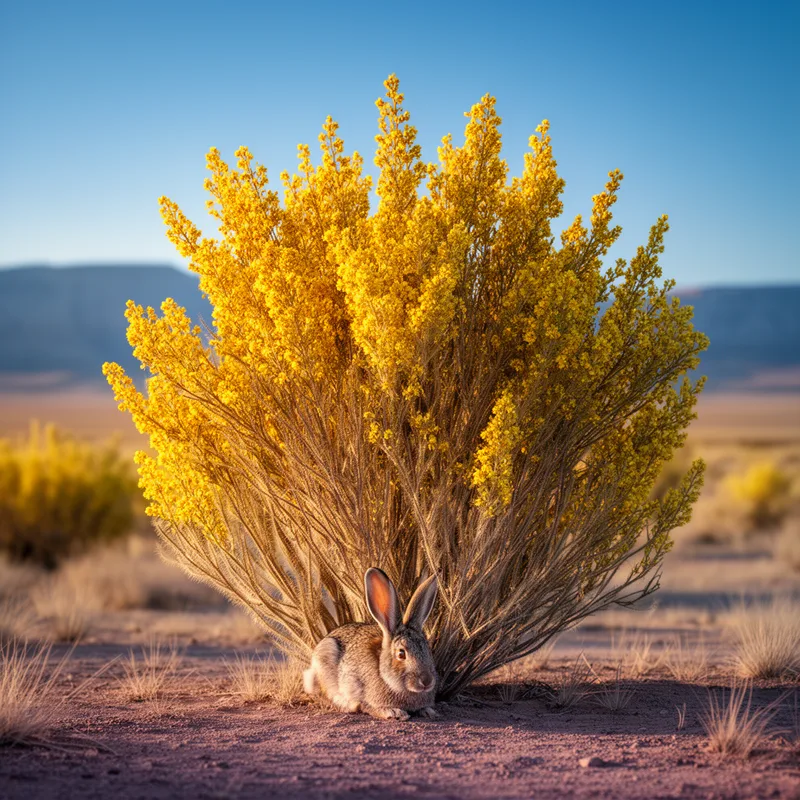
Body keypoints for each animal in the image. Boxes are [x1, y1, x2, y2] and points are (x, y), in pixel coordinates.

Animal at [303, 567, 439, 720]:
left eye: (428, 650)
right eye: (401, 654)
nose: (427, 681)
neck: (384, 674)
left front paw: (429, 711)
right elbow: (367, 706)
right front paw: (394, 713)